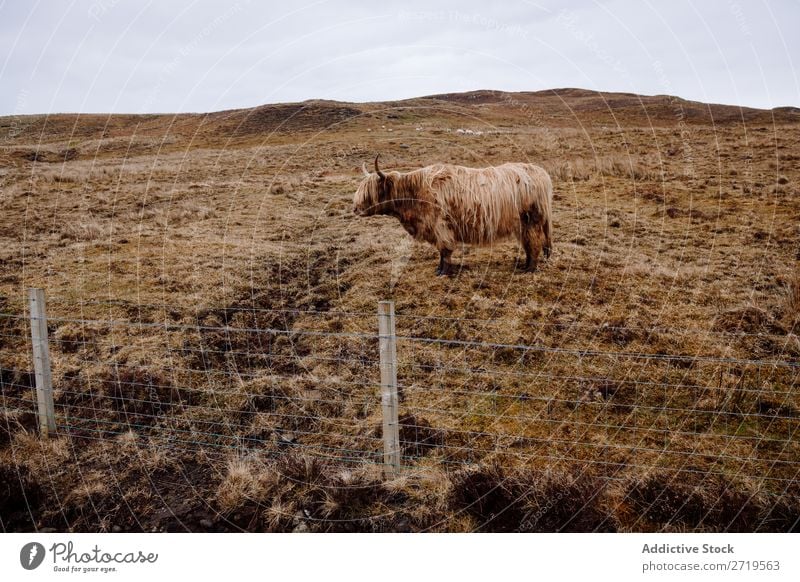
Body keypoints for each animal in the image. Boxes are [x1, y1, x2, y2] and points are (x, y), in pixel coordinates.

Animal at [354, 156, 552, 278]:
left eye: (371, 191)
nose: (355, 209)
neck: (414, 194)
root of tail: (541, 172)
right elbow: (442, 252)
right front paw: (440, 269)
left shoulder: (440, 227)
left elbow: (445, 251)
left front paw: (443, 272)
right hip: (523, 224)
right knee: (528, 244)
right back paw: (524, 265)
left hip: (532, 221)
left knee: (534, 243)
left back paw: (529, 269)